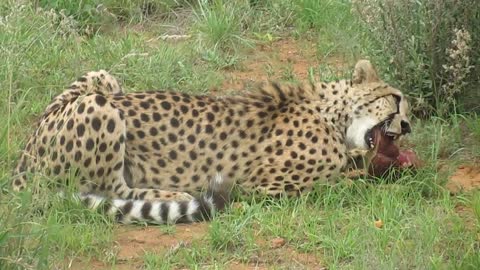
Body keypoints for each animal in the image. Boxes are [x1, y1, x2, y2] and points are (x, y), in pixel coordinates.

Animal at [11, 60, 410, 225]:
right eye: (396, 98)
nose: (406, 126)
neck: (332, 112)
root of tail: (23, 159)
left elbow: (355, 168)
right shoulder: (264, 185)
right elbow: (348, 182)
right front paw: (389, 180)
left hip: (102, 78)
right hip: (100, 106)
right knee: (112, 190)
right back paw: (174, 196)